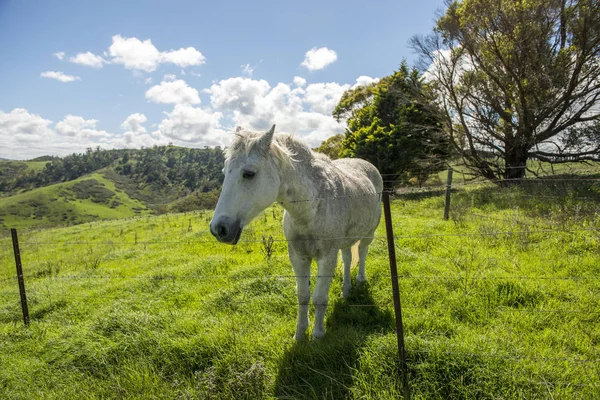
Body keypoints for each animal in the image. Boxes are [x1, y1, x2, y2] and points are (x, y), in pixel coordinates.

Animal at [209, 125, 382, 340]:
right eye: (225, 172)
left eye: (248, 174)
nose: (218, 229)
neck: (310, 208)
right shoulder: (298, 257)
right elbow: (302, 296)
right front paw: (299, 334)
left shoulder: (327, 257)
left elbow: (319, 297)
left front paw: (318, 334)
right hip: (345, 241)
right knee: (348, 256)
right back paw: (346, 290)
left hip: (369, 234)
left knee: (363, 253)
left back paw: (360, 281)